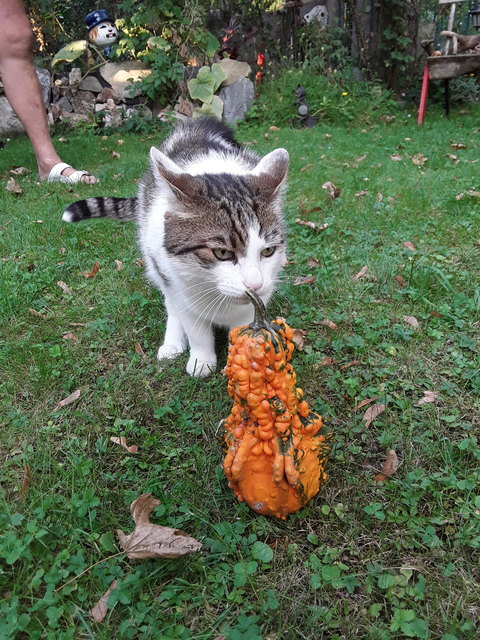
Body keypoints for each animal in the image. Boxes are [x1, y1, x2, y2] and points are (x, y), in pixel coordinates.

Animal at [62, 117, 288, 376]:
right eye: (222, 252)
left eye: (268, 251)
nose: (255, 285)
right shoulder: (178, 284)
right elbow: (195, 327)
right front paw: (201, 360)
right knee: (171, 304)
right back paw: (172, 341)